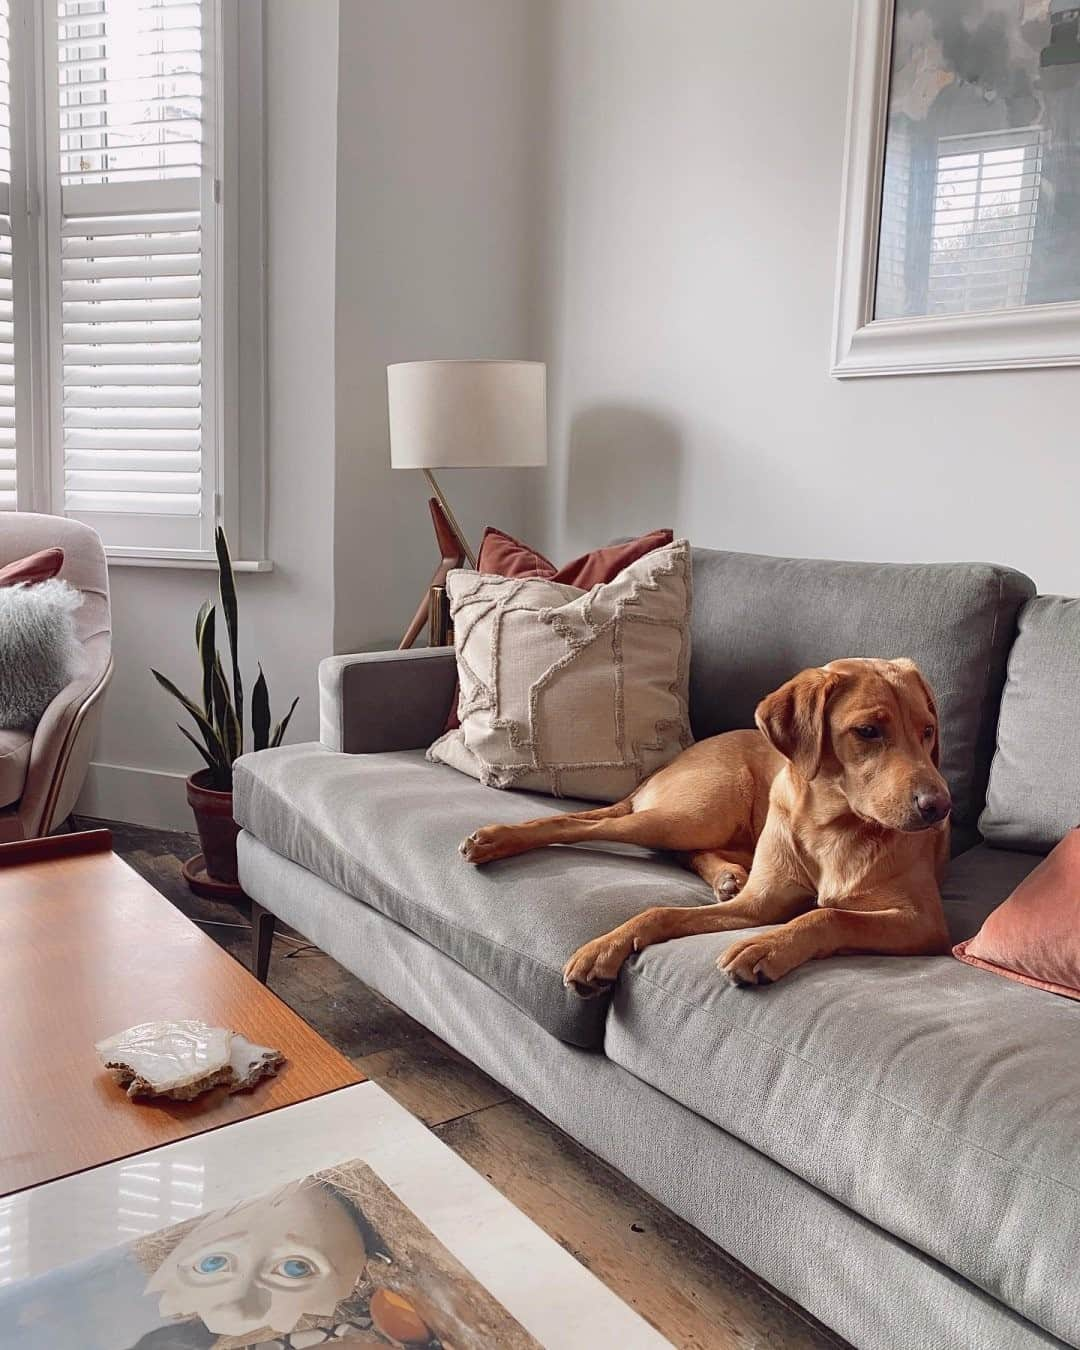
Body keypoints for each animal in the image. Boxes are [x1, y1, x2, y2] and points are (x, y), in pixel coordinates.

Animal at [459, 661, 950, 993]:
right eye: (867, 731)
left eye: (928, 730)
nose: (940, 807)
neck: (830, 826)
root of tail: (668, 765)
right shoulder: (762, 902)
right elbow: (659, 911)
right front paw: (603, 946)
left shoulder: (922, 923)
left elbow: (827, 914)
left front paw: (766, 946)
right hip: (694, 814)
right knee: (583, 823)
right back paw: (495, 839)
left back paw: (727, 875)